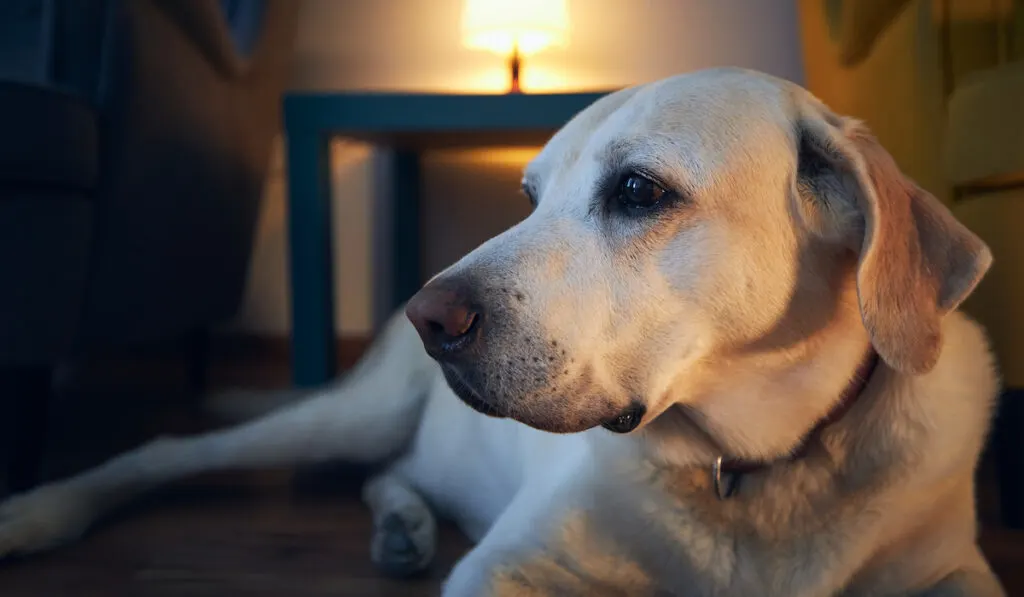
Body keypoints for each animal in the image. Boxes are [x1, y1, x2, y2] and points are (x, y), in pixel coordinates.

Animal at [0, 67, 1007, 593]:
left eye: (638, 189)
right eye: (528, 196)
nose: (426, 314)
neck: (754, 472)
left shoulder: (954, 573)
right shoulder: (514, 563)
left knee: (392, 472)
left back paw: (402, 524)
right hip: (343, 414)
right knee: (171, 450)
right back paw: (41, 510)